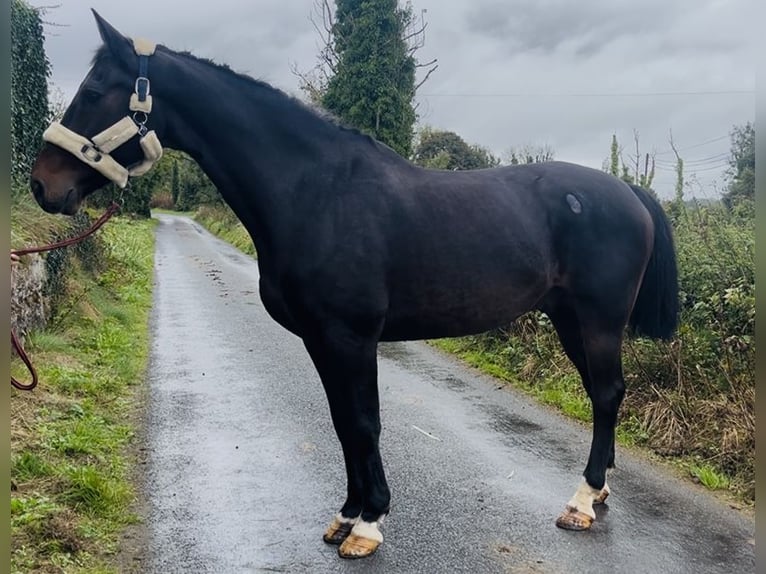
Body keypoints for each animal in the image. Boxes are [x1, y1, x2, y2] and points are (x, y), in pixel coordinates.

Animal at [29, 11, 678, 560]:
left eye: (93, 92)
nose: (42, 185)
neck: (317, 191)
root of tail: (629, 192)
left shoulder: (351, 338)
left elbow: (364, 422)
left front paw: (369, 525)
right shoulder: (322, 341)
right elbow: (343, 421)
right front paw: (346, 515)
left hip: (597, 320)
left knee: (606, 394)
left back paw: (581, 502)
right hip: (569, 318)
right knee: (604, 394)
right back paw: (598, 492)